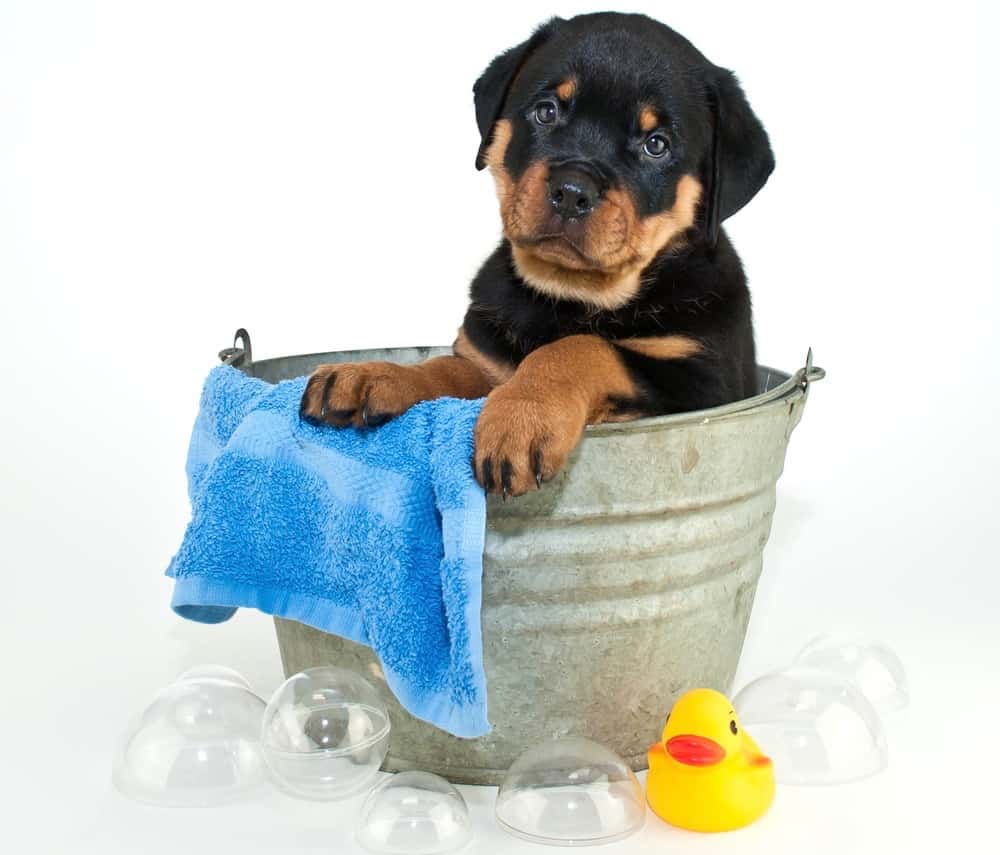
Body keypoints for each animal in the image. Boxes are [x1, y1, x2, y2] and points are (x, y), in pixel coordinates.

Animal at [300, 11, 776, 494]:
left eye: (656, 144)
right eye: (546, 112)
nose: (571, 191)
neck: (568, 293)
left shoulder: (699, 382)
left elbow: (583, 347)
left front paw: (521, 416)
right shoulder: (487, 359)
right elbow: (448, 369)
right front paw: (378, 374)